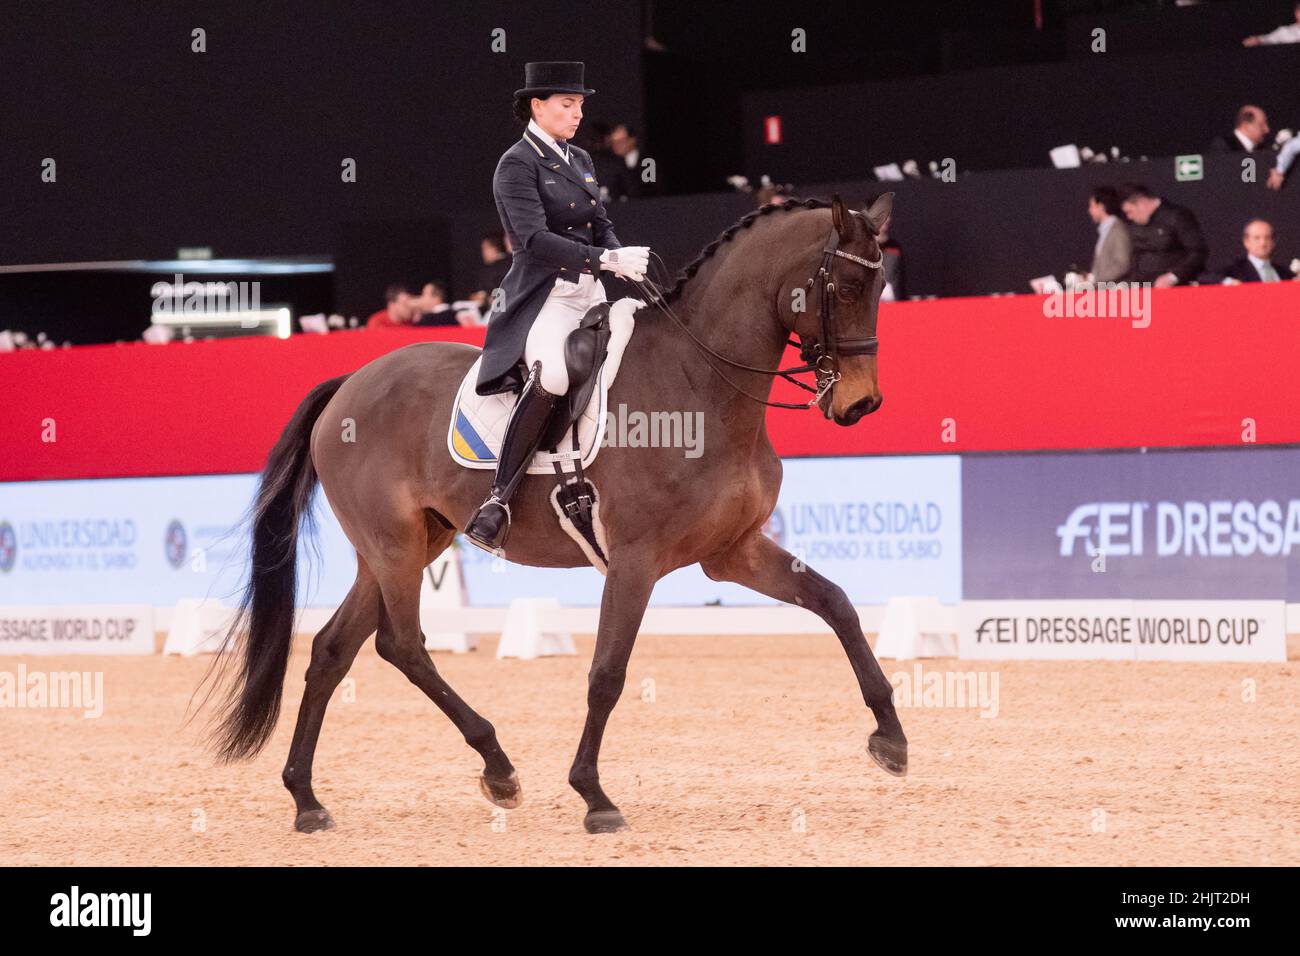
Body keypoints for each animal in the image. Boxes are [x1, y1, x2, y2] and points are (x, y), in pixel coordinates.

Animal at [208, 191, 909, 832]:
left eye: (882, 286)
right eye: (846, 286)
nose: (862, 404)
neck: (701, 382)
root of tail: (348, 383)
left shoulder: (731, 552)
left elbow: (836, 603)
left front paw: (891, 738)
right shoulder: (635, 561)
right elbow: (607, 674)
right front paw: (594, 796)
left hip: (404, 546)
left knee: (333, 649)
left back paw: (306, 798)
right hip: (395, 545)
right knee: (402, 644)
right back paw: (497, 767)